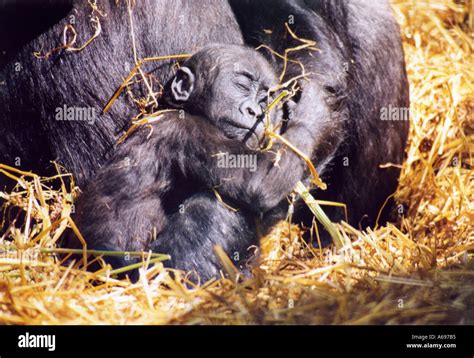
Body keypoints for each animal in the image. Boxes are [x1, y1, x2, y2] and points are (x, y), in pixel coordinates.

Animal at [63, 44, 310, 280]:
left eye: (264, 100)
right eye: (241, 85)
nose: (255, 111)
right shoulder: (189, 131)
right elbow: (258, 181)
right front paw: (314, 108)